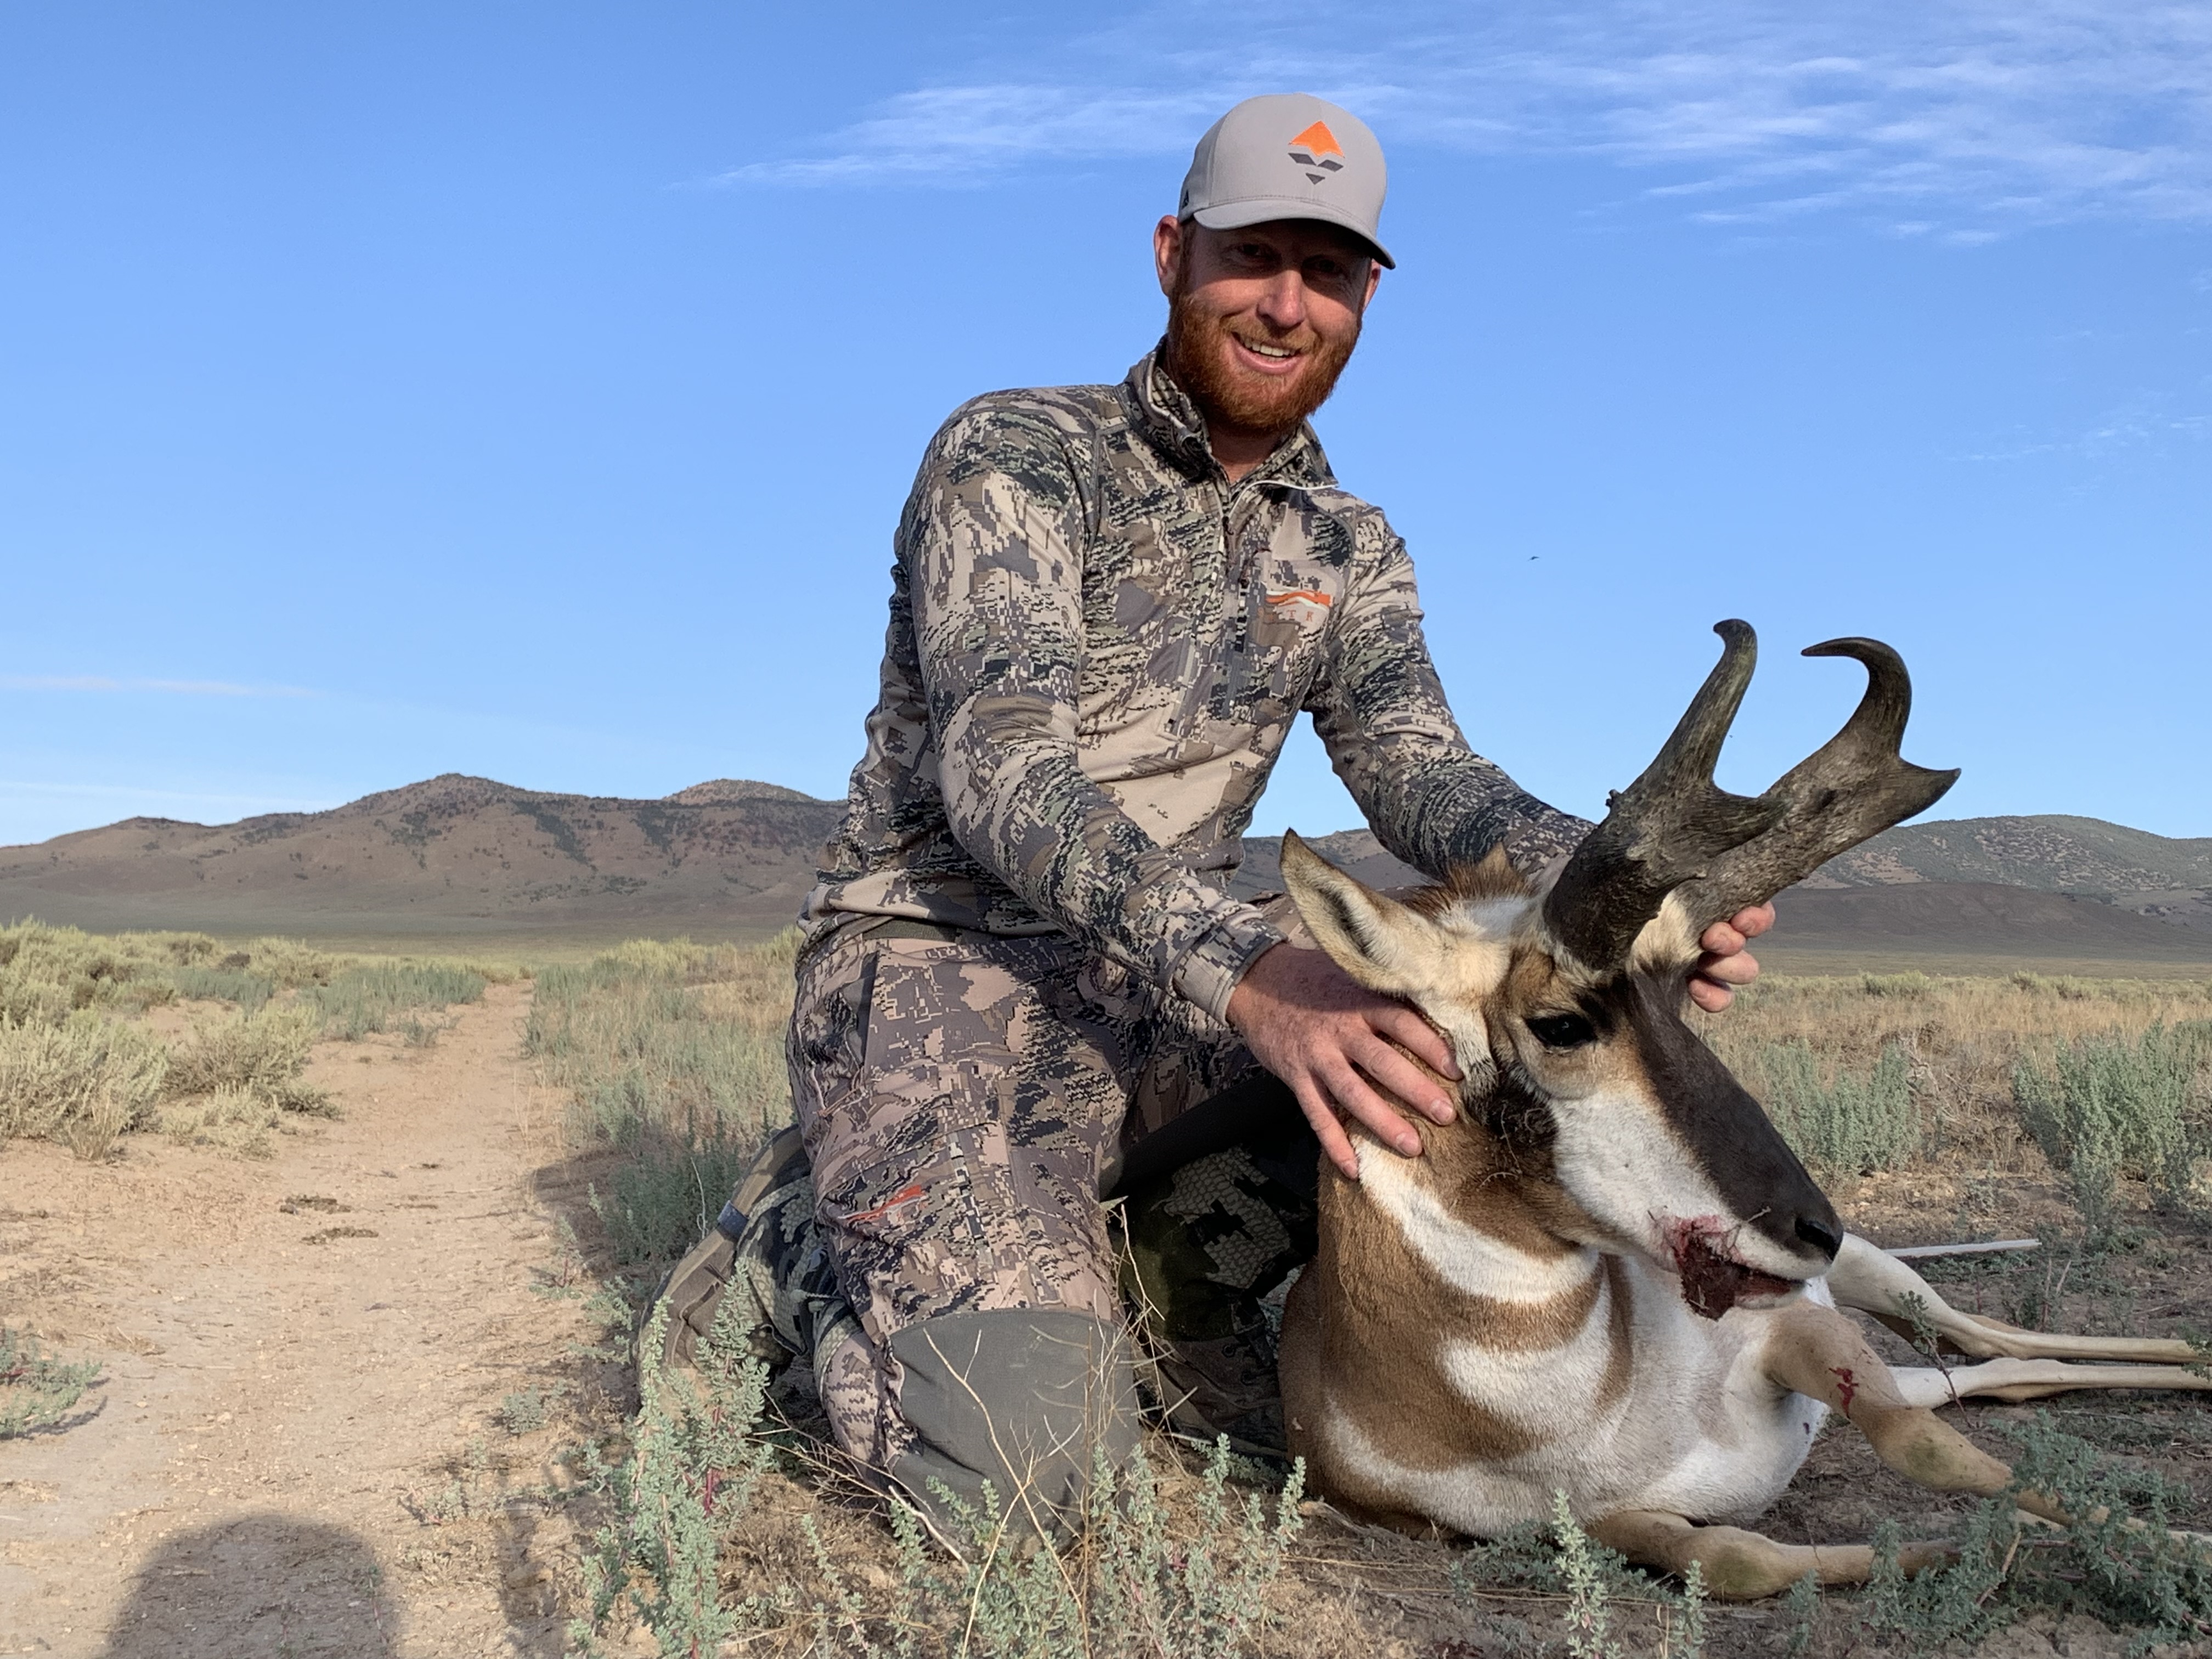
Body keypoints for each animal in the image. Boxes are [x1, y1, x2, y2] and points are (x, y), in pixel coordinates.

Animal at [1275, 621, 2211, 1599]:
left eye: (1684, 998)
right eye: (1563, 1023)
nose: (1813, 1230)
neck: (1571, 1407)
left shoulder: (1804, 1328)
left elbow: (1925, 1450)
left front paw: (2176, 1546)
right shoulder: (1613, 1527)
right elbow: (1739, 1559)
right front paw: (1997, 1547)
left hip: (1882, 1279)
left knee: (1988, 1338)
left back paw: (2195, 1363)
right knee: (1992, 1373)